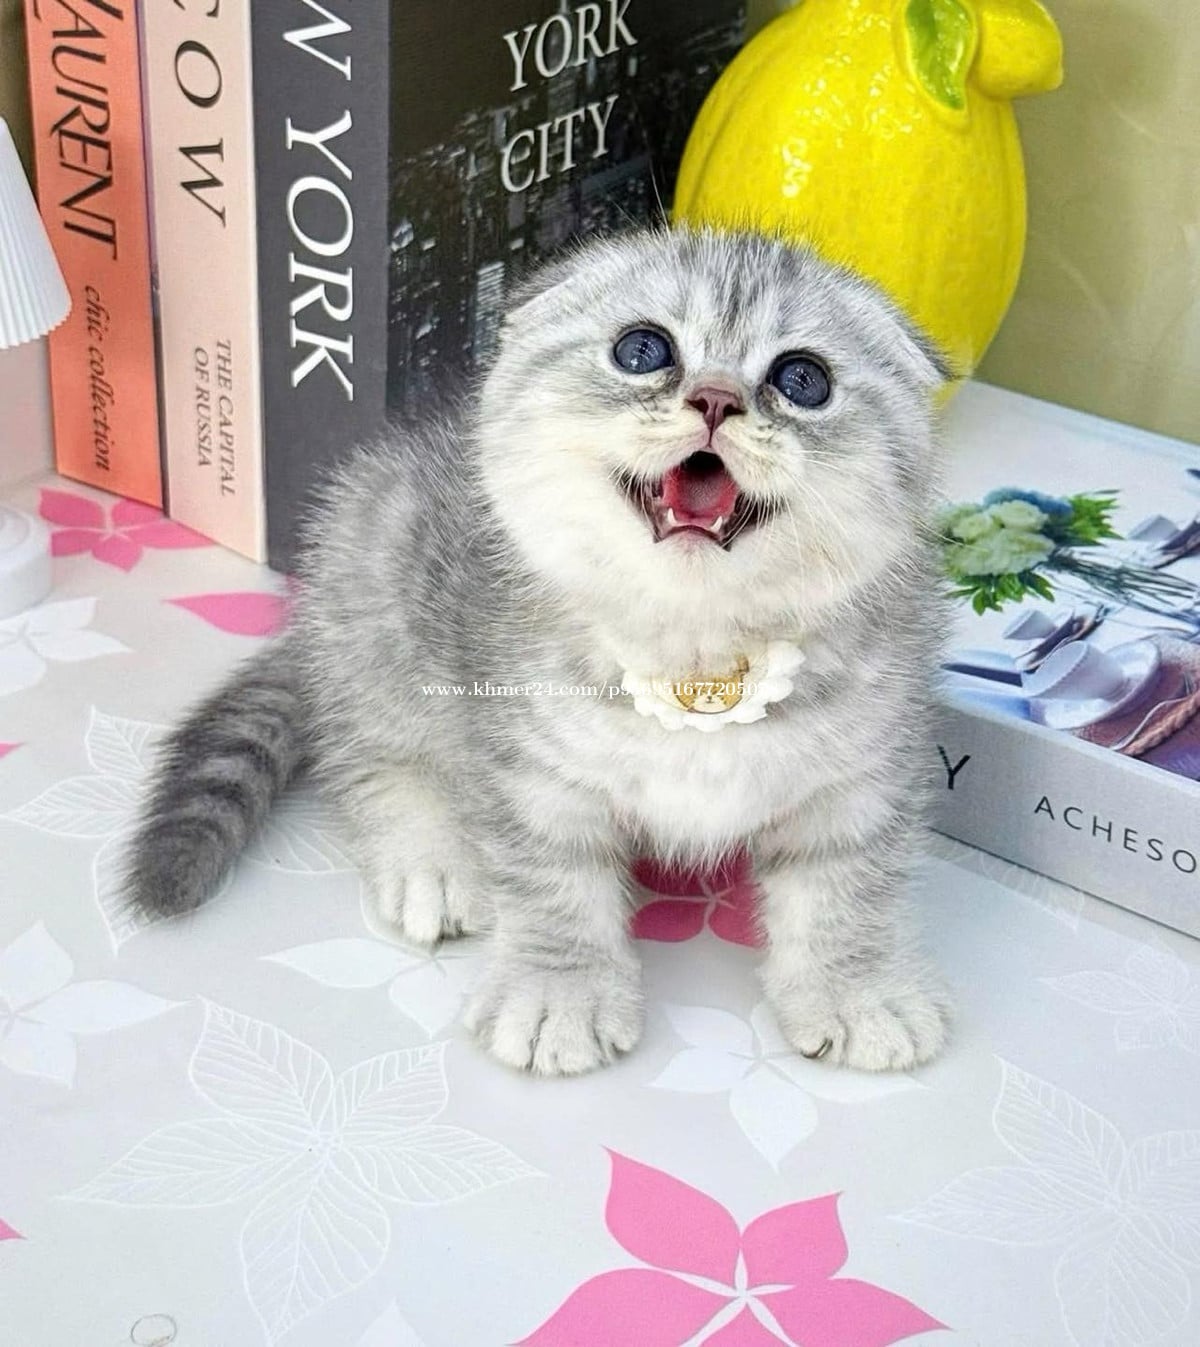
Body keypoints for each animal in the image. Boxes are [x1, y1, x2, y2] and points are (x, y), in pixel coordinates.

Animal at [127, 227, 954, 1076]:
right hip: (376, 598)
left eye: (803, 379)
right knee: (369, 750)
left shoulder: (863, 772)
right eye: (642, 349)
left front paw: (856, 988)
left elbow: (848, 882)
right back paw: (431, 859)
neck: (692, 642)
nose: (717, 399)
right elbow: (554, 881)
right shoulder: (531, 765)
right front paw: (561, 993)